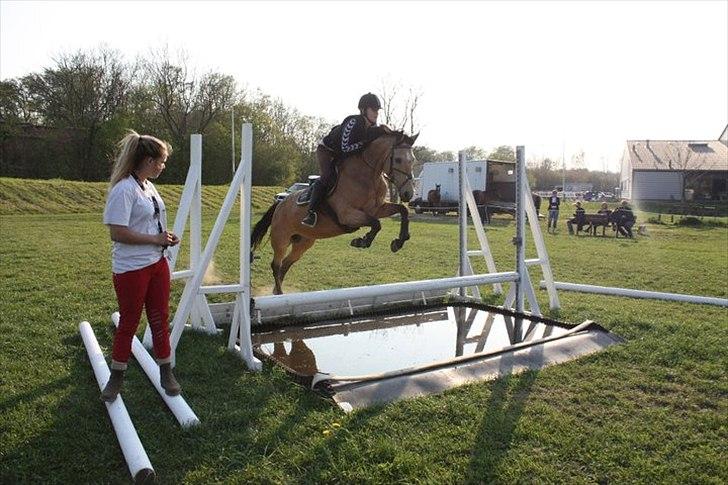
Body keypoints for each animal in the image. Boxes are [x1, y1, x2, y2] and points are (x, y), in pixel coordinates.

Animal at [252, 130, 418, 294]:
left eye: (413, 160)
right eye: (398, 160)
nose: (408, 193)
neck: (368, 177)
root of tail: (280, 204)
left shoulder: (377, 209)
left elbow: (402, 210)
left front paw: (399, 241)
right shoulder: (347, 215)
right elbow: (376, 223)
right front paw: (362, 241)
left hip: (304, 241)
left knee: (286, 264)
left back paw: (277, 292)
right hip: (281, 239)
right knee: (276, 265)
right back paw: (279, 293)